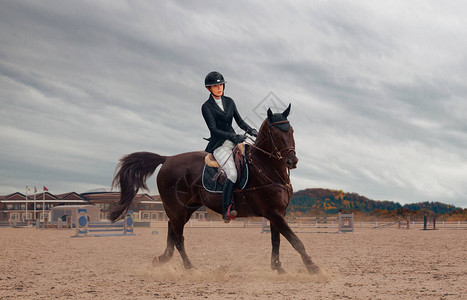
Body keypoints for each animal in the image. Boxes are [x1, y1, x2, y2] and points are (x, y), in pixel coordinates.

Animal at [110, 105, 322, 274]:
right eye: (275, 134)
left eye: (291, 131)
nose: (292, 161)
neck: (268, 168)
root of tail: (167, 159)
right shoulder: (273, 213)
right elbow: (295, 241)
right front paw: (313, 268)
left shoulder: (277, 213)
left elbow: (276, 240)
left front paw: (278, 267)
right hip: (177, 208)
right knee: (178, 237)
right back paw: (190, 267)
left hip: (186, 208)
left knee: (172, 229)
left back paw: (163, 259)